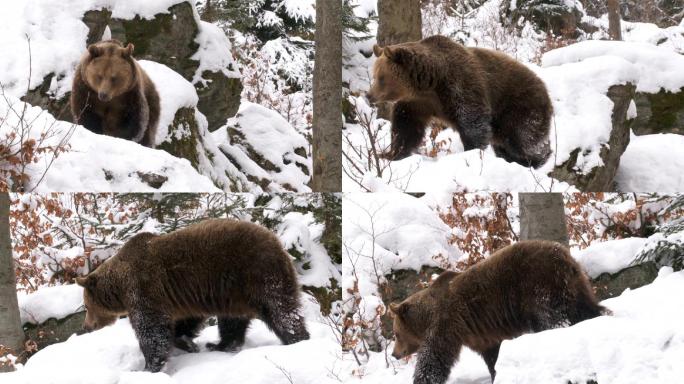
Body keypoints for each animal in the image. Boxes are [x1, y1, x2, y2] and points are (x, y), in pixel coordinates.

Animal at [75, 219, 310, 372]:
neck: (120, 286)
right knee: (233, 321)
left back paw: (297, 340)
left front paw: (148, 367)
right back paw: (219, 345)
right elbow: (185, 320)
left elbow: (151, 329)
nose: (86, 326)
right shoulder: (180, 296)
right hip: (233, 293)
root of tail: (279, 244)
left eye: (86, 306)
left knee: (280, 310)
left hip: (256, 272)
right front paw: (186, 342)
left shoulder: (144, 288)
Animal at [366, 35, 552, 168]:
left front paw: (471, 151)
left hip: (519, 105)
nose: (369, 95)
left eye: (381, 78)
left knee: (523, 137)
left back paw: (535, 159)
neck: (429, 83)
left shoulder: (460, 86)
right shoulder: (417, 103)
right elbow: (406, 128)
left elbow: (472, 121)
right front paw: (391, 154)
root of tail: (544, 86)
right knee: (505, 144)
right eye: (374, 76)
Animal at [390, 240, 604, 384]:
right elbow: (492, 354)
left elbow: (434, 356)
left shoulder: (447, 321)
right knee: (586, 310)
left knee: (553, 319)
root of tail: (565, 258)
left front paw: (422, 378)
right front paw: (495, 373)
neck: (426, 317)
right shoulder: (480, 334)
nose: (394, 354)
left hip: (538, 286)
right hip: (577, 287)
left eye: (396, 333)